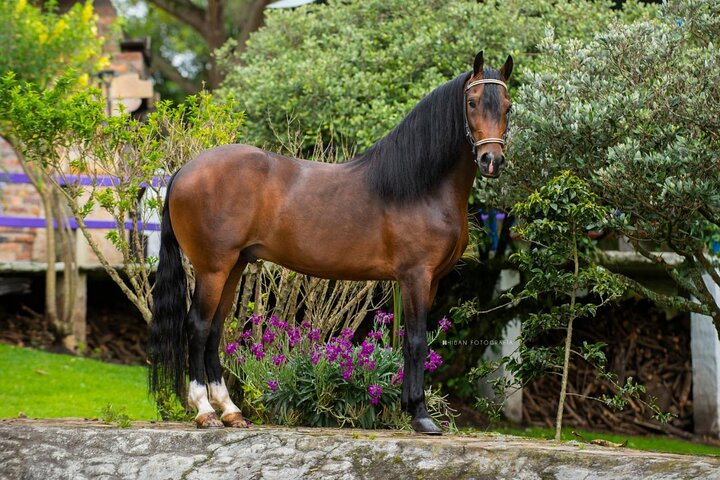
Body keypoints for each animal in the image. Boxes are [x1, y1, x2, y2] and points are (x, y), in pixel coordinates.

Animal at [150, 50, 512, 434]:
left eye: (508, 105)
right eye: (472, 103)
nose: (492, 160)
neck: (421, 187)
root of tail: (183, 171)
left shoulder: (431, 281)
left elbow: (409, 340)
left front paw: (409, 409)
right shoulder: (416, 276)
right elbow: (416, 341)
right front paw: (420, 416)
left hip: (233, 267)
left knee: (216, 329)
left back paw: (231, 411)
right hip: (212, 268)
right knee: (198, 327)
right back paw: (204, 411)